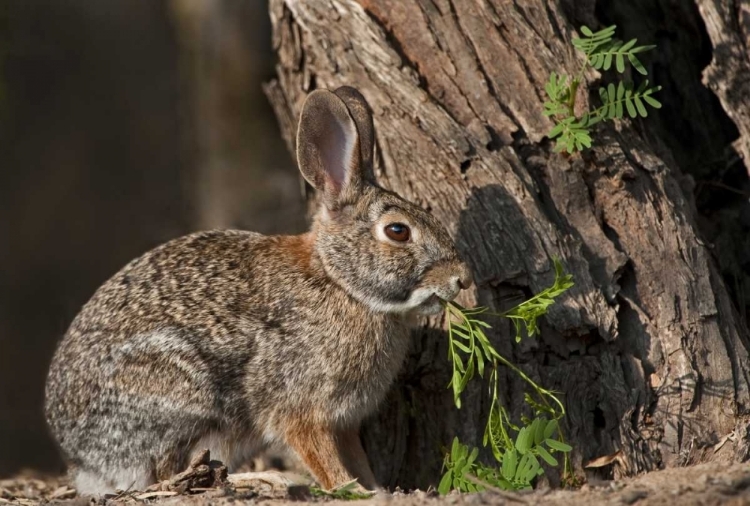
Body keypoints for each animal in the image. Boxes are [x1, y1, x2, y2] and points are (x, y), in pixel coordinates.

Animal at [42, 86, 470, 494]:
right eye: (398, 231)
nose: (461, 278)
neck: (340, 282)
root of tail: (84, 462)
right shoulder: (300, 409)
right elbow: (322, 457)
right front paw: (350, 490)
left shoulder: (343, 420)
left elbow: (356, 458)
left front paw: (375, 487)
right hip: (177, 393)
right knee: (167, 473)